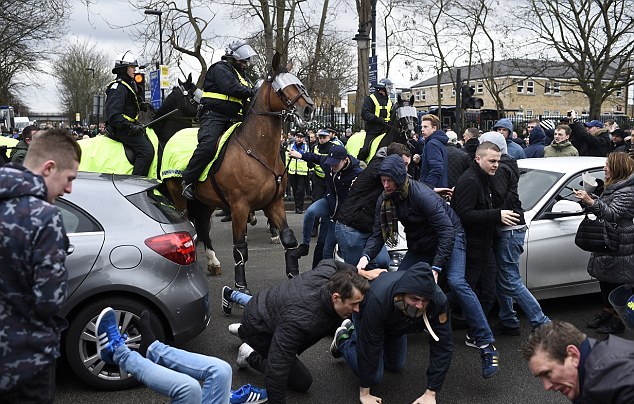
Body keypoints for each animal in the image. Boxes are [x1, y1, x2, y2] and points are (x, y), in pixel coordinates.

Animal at [160, 53, 314, 292]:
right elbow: (240, 248)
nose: (308, 108)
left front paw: (293, 275)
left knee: (201, 226)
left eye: (299, 83)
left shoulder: (275, 202)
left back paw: (212, 261)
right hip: (178, 196)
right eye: (282, 89)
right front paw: (241, 287)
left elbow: (288, 239)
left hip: (205, 202)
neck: (257, 150)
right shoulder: (240, 207)